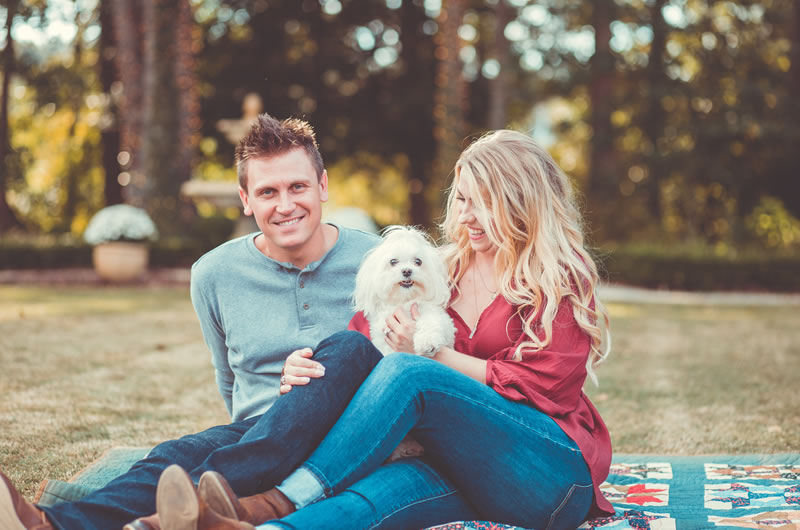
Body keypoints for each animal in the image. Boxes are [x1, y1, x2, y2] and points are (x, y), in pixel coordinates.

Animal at [352, 225, 454, 356]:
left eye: (418, 261)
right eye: (393, 261)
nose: (406, 271)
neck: (405, 300)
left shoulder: (441, 320)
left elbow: (431, 321)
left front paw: (427, 342)